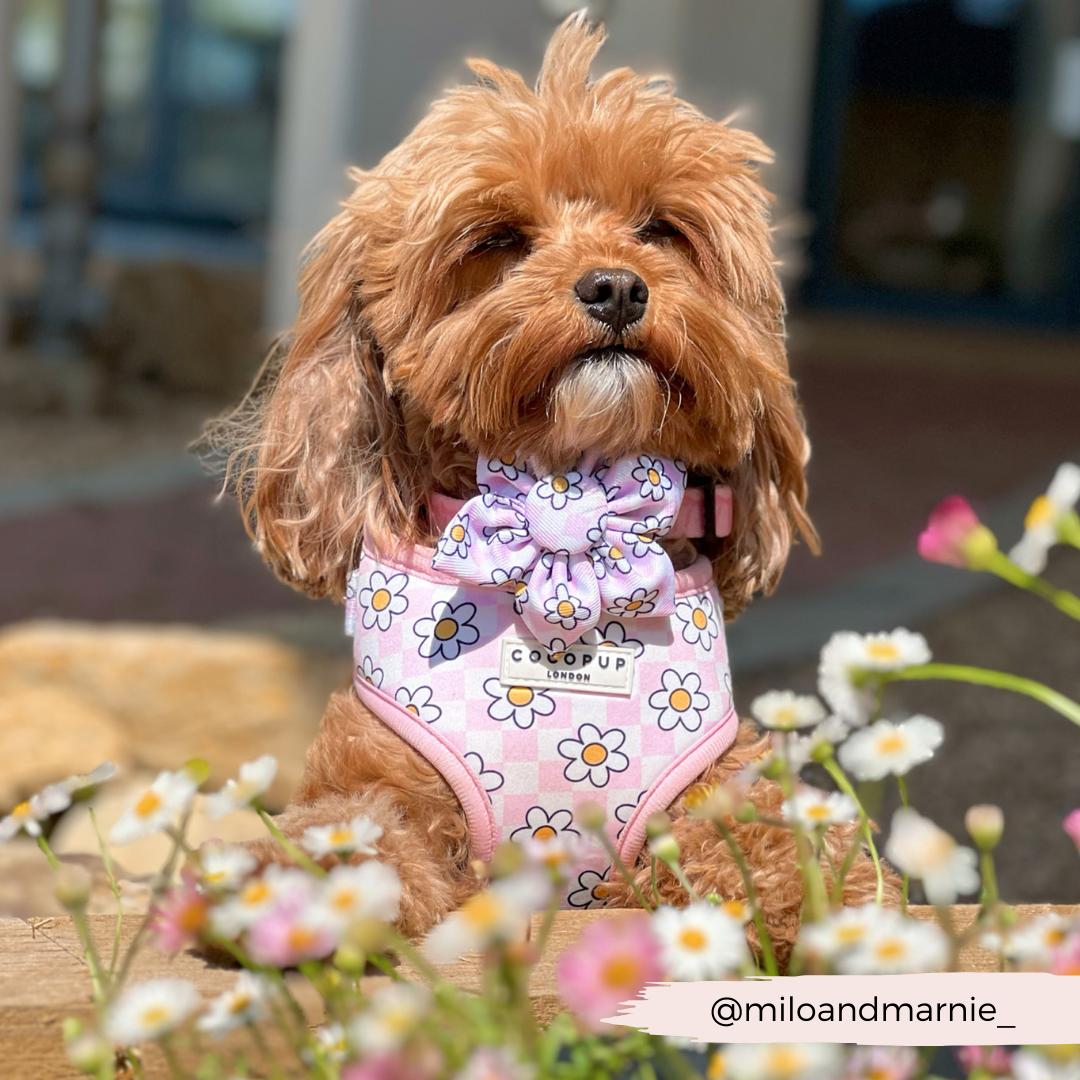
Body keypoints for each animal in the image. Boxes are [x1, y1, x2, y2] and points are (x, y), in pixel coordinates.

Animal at [203, 14, 894, 963]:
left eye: (660, 229)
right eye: (498, 239)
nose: (616, 284)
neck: (570, 502)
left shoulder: (704, 786)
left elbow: (767, 833)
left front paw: (823, 897)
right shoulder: (387, 775)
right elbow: (354, 826)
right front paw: (295, 888)